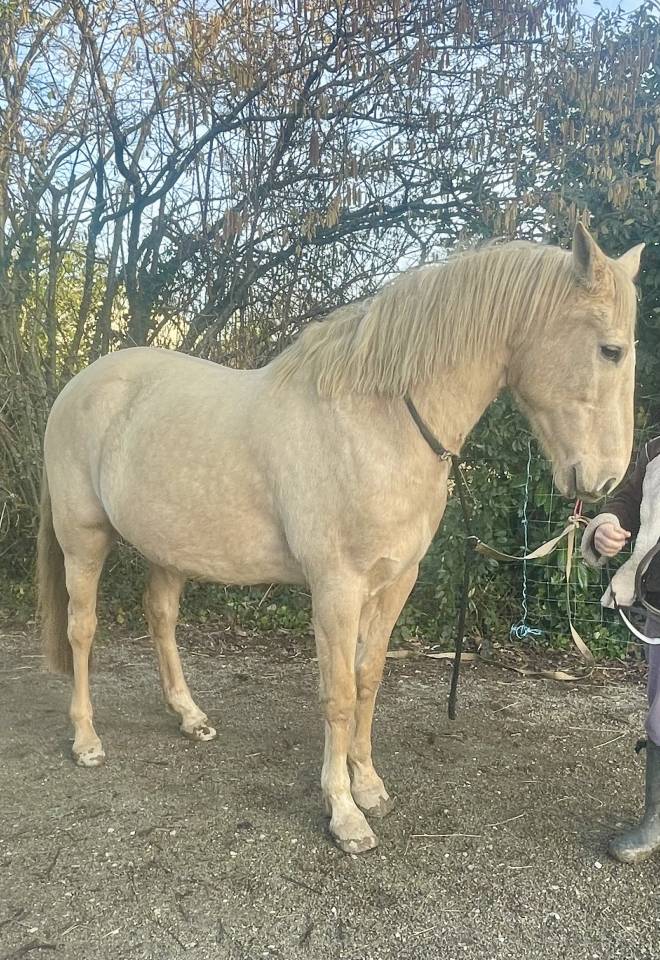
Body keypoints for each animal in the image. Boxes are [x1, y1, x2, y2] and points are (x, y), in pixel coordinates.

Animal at [37, 224, 643, 854]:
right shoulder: (336, 588)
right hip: (83, 539)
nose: (605, 478)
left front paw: (368, 785)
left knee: (161, 618)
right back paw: (86, 740)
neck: (379, 422)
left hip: (169, 548)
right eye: (611, 350)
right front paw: (344, 813)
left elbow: (368, 679)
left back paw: (189, 716)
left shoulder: (395, 581)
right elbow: (339, 695)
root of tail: (79, 386)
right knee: (82, 631)